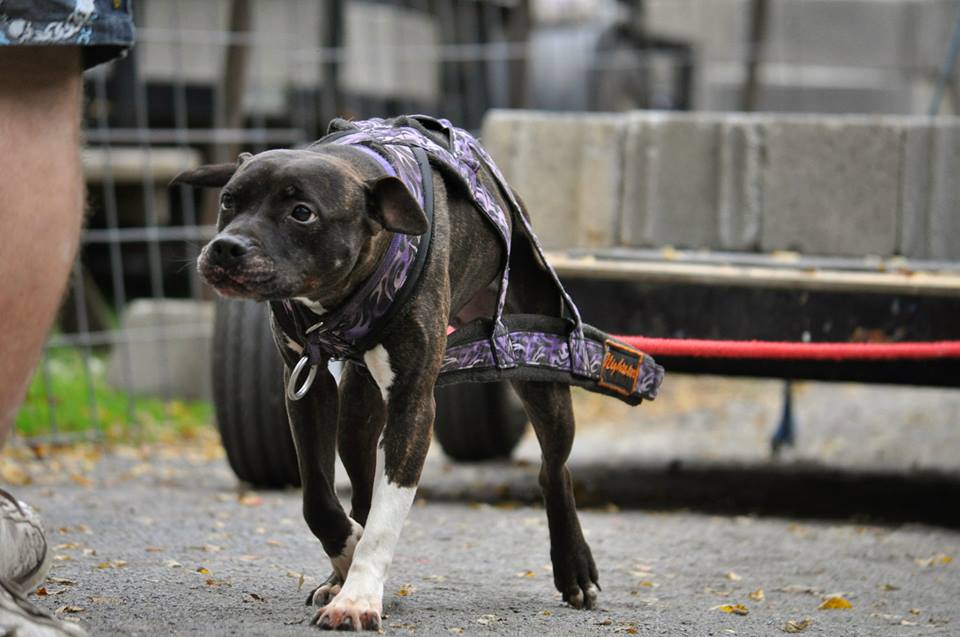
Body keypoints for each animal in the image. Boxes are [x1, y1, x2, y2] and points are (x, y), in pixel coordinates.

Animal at [174, 121, 600, 628]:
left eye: (302, 213)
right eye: (229, 202)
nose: (226, 247)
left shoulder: (413, 405)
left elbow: (385, 513)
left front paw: (358, 597)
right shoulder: (306, 384)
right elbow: (318, 498)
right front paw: (347, 559)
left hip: (538, 364)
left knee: (554, 469)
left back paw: (575, 568)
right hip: (357, 411)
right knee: (359, 486)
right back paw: (337, 573)